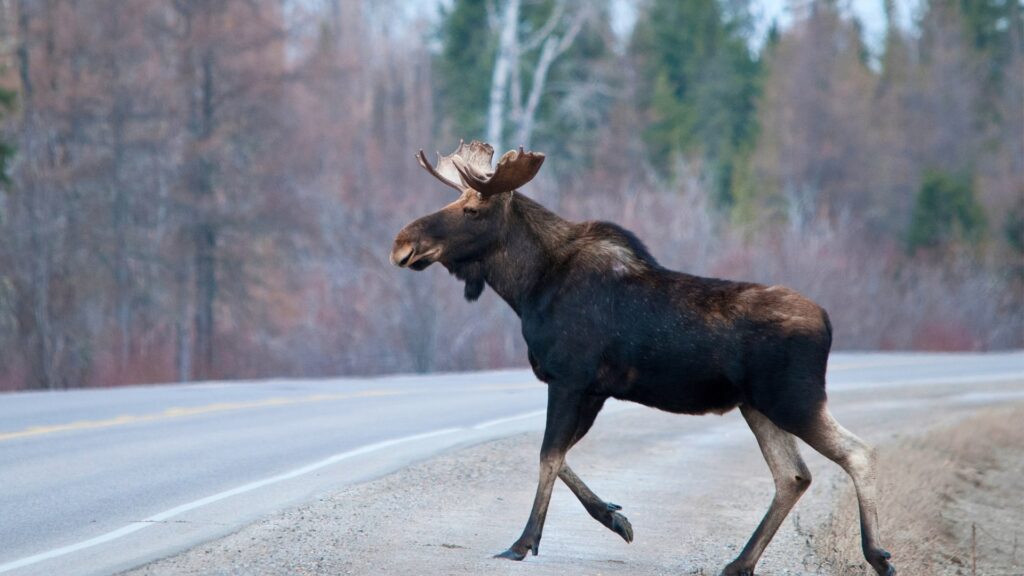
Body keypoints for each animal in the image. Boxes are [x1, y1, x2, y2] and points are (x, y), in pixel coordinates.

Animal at [387, 141, 892, 573]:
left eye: (471, 210)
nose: (402, 244)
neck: (527, 288)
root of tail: (827, 322)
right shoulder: (593, 389)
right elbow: (560, 455)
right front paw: (614, 517)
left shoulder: (570, 378)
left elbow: (548, 455)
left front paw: (523, 542)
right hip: (757, 406)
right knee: (793, 476)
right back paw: (739, 563)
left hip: (793, 399)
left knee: (857, 452)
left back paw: (877, 555)